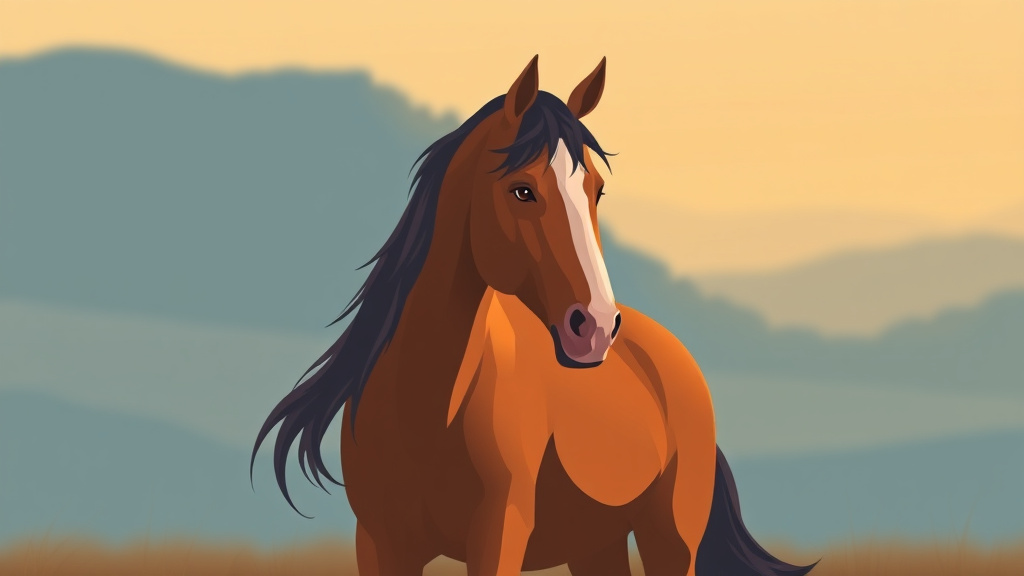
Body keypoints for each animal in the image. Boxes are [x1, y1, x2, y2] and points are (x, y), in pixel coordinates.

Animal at [252, 56, 816, 576]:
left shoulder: (500, 536)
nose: (595, 327)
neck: (426, 408)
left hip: (671, 540)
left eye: (596, 190)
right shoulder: (379, 544)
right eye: (522, 189)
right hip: (596, 545)